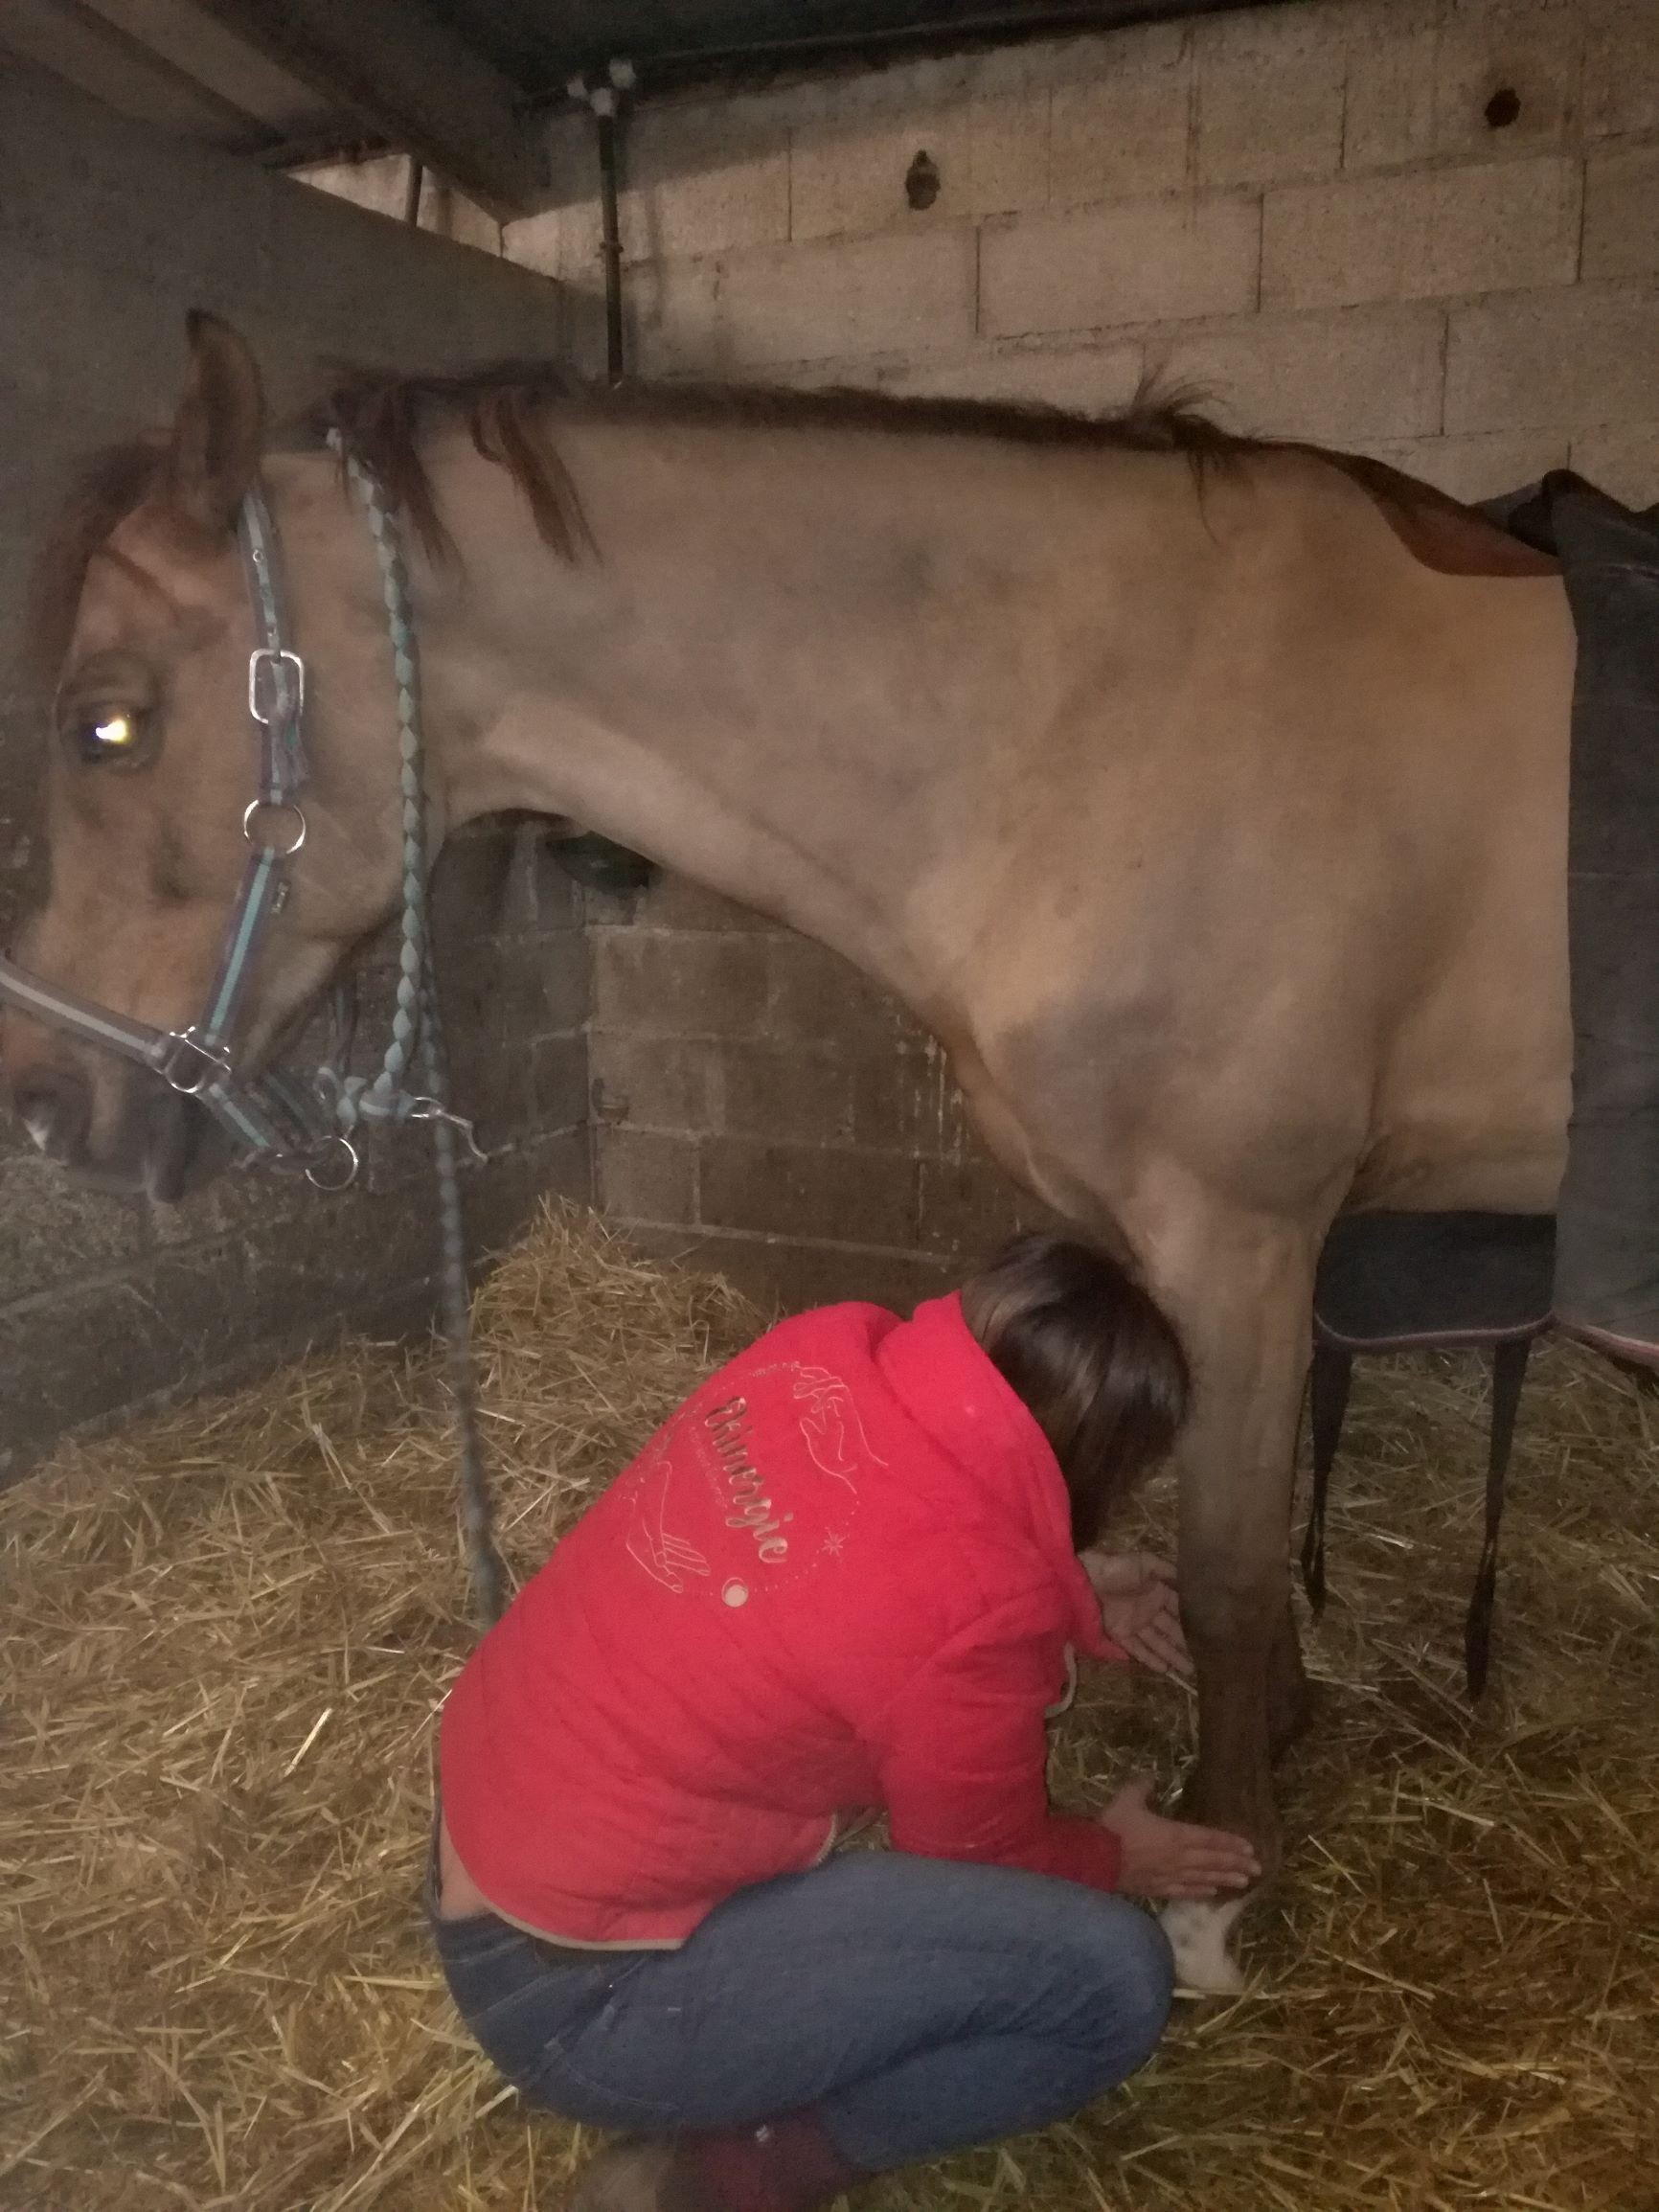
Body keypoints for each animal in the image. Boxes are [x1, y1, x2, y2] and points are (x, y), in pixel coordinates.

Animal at [3, 311, 1583, 1991]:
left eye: (107, 720)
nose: (42, 1099)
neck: (1114, 715)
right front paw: (1275, 1734)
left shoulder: (1247, 1235)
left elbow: (1228, 1569)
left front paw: (1225, 1877)